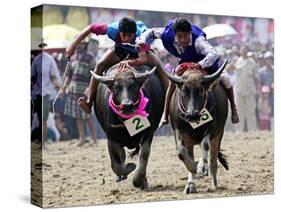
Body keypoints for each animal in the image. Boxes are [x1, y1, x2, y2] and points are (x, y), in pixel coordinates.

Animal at [161, 59, 229, 194]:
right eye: (184, 91)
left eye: (201, 90)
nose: (192, 114)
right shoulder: (178, 130)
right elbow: (181, 153)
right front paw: (194, 167)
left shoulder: (213, 129)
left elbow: (205, 145)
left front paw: (202, 166)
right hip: (190, 141)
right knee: (190, 154)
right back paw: (191, 185)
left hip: (219, 135)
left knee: (213, 159)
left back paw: (214, 183)